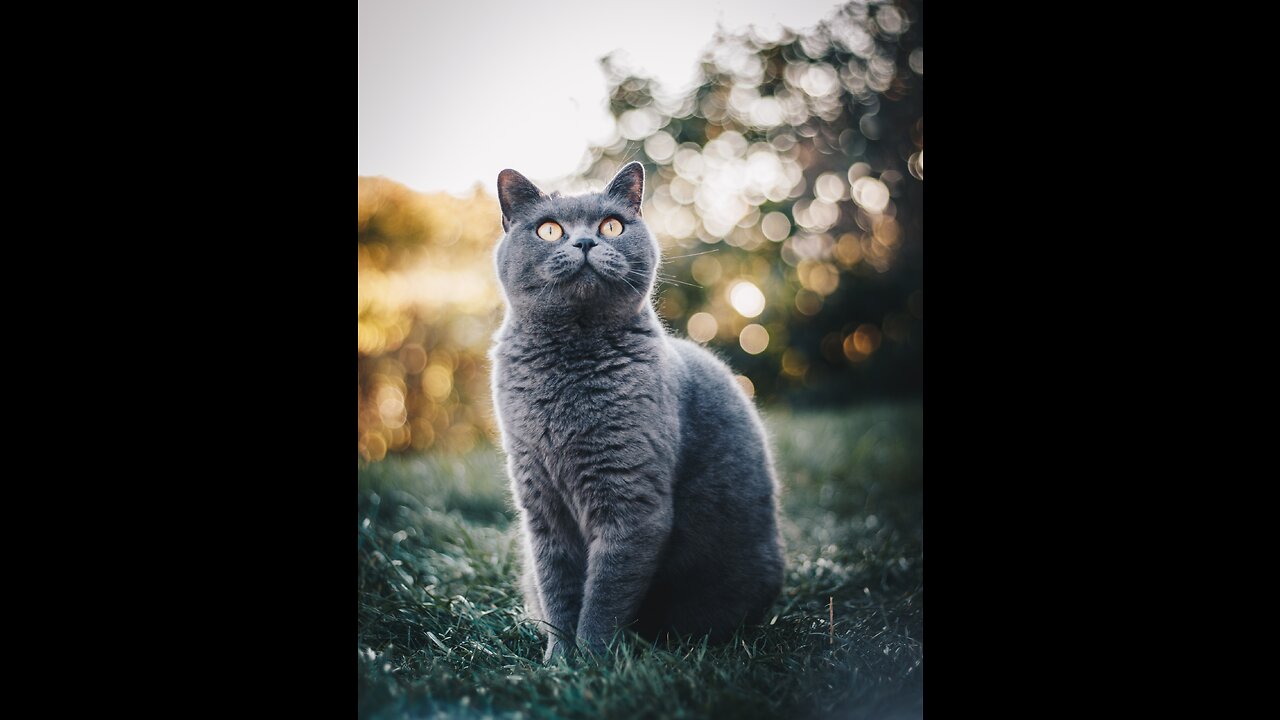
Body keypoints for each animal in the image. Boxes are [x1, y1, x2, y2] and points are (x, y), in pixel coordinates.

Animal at [488, 159, 783, 661]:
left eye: (612, 225)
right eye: (548, 230)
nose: (585, 242)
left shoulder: (631, 502)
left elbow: (604, 597)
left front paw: (589, 662)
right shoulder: (541, 507)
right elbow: (558, 588)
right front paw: (557, 661)